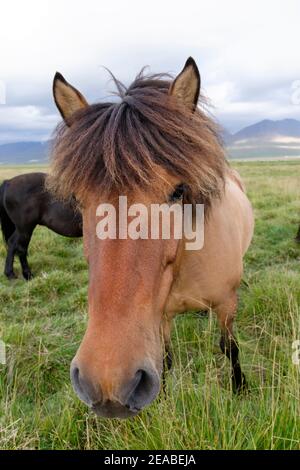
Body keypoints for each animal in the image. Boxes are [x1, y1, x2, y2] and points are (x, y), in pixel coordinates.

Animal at [48, 57, 254, 420]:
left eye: (179, 191)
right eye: (77, 199)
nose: (107, 383)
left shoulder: (228, 304)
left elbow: (229, 346)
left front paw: (239, 387)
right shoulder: (159, 318)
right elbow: (166, 359)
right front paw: (166, 400)